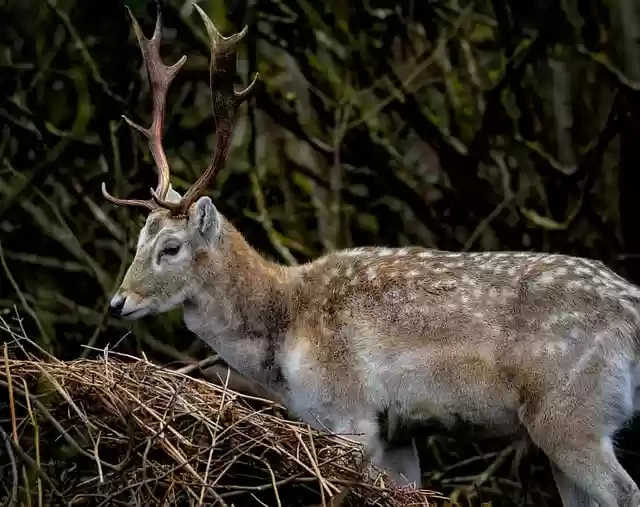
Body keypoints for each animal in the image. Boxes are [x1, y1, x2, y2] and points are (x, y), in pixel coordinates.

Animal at [102, 6, 640, 506]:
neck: (284, 333)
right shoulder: (398, 432)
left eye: (170, 247)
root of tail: (632, 310)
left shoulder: (348, 410)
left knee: (624, 489)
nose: (118, 302)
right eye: (138, 240)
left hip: (569, 413)